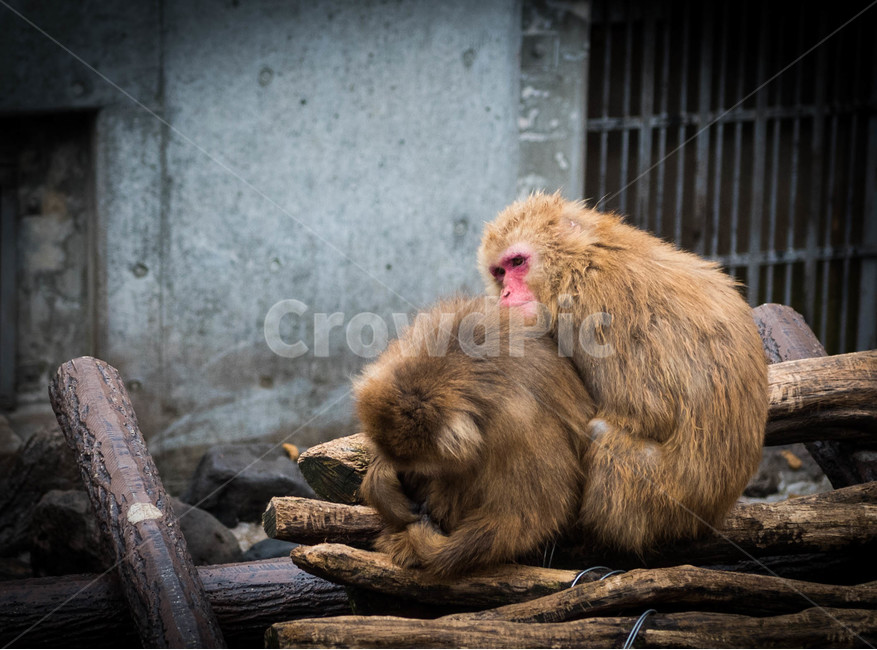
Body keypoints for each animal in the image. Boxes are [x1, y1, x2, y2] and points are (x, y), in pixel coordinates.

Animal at [477, 192, 769, 554]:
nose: (505, 293)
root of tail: (713, 513)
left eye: (518, 262)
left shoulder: (594, 308)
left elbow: (648, 411)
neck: (580, 263)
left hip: (663, 501)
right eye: (499, 272)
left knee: (603, 432)